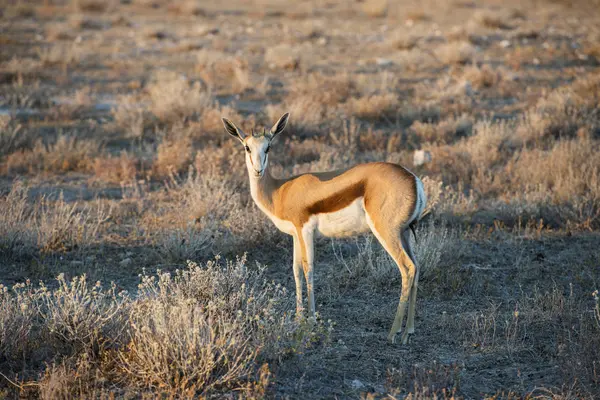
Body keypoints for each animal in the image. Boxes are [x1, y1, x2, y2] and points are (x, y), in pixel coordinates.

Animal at [221, 113, 426, 344]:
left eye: (268, 147)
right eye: (247, 147)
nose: (258, 170)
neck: (279, 191)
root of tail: (413, 180)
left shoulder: (305, 231)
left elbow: (308, 269)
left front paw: (310, 321)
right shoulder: (295, 235)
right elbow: (296, 270)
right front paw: (298, 317)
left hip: (387, 233)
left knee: (407, 268)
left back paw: (393, 332)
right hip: (404, 233)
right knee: (417, 266)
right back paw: (408, 331)